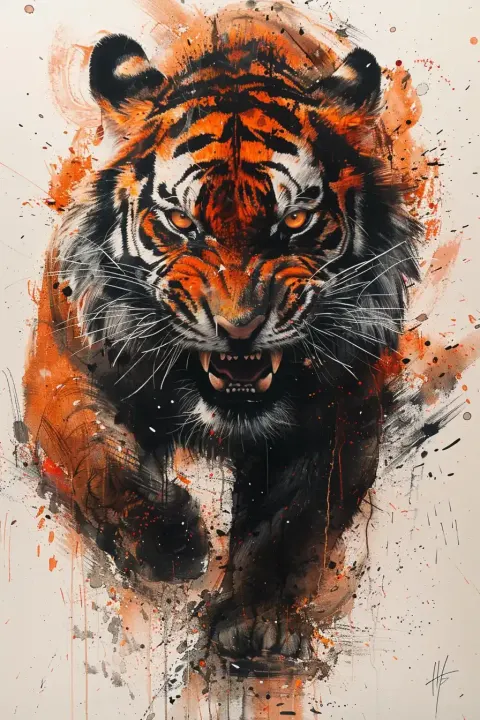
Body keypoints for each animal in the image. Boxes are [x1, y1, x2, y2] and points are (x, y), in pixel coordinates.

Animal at [23, 14, 421, 665]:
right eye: (183, 223)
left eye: (293, 222)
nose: (239, 328)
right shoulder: (63, 366)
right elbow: (97, 458)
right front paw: (171, 542)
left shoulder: (345, 399)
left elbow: (292, 517)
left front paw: (256, 620)